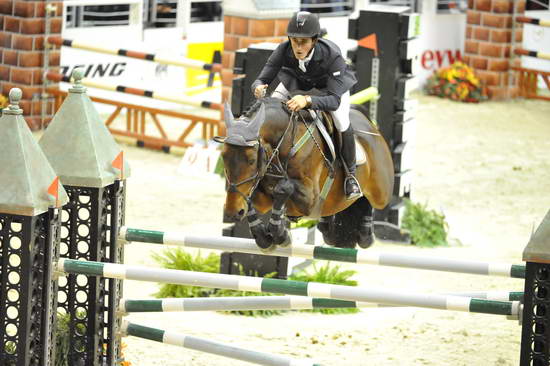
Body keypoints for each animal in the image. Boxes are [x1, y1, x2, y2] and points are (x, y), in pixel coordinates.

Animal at [216, 97, 396, 252]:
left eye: (252, 160)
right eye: (223, 156)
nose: (232, 212)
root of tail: (369, 124)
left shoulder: (309, 198)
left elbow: (283, 188)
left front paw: (280, 234)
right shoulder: (260, 194)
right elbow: (250, 198)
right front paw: (264, 237)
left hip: (381, 192)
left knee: (370, 199)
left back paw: (365, 231)